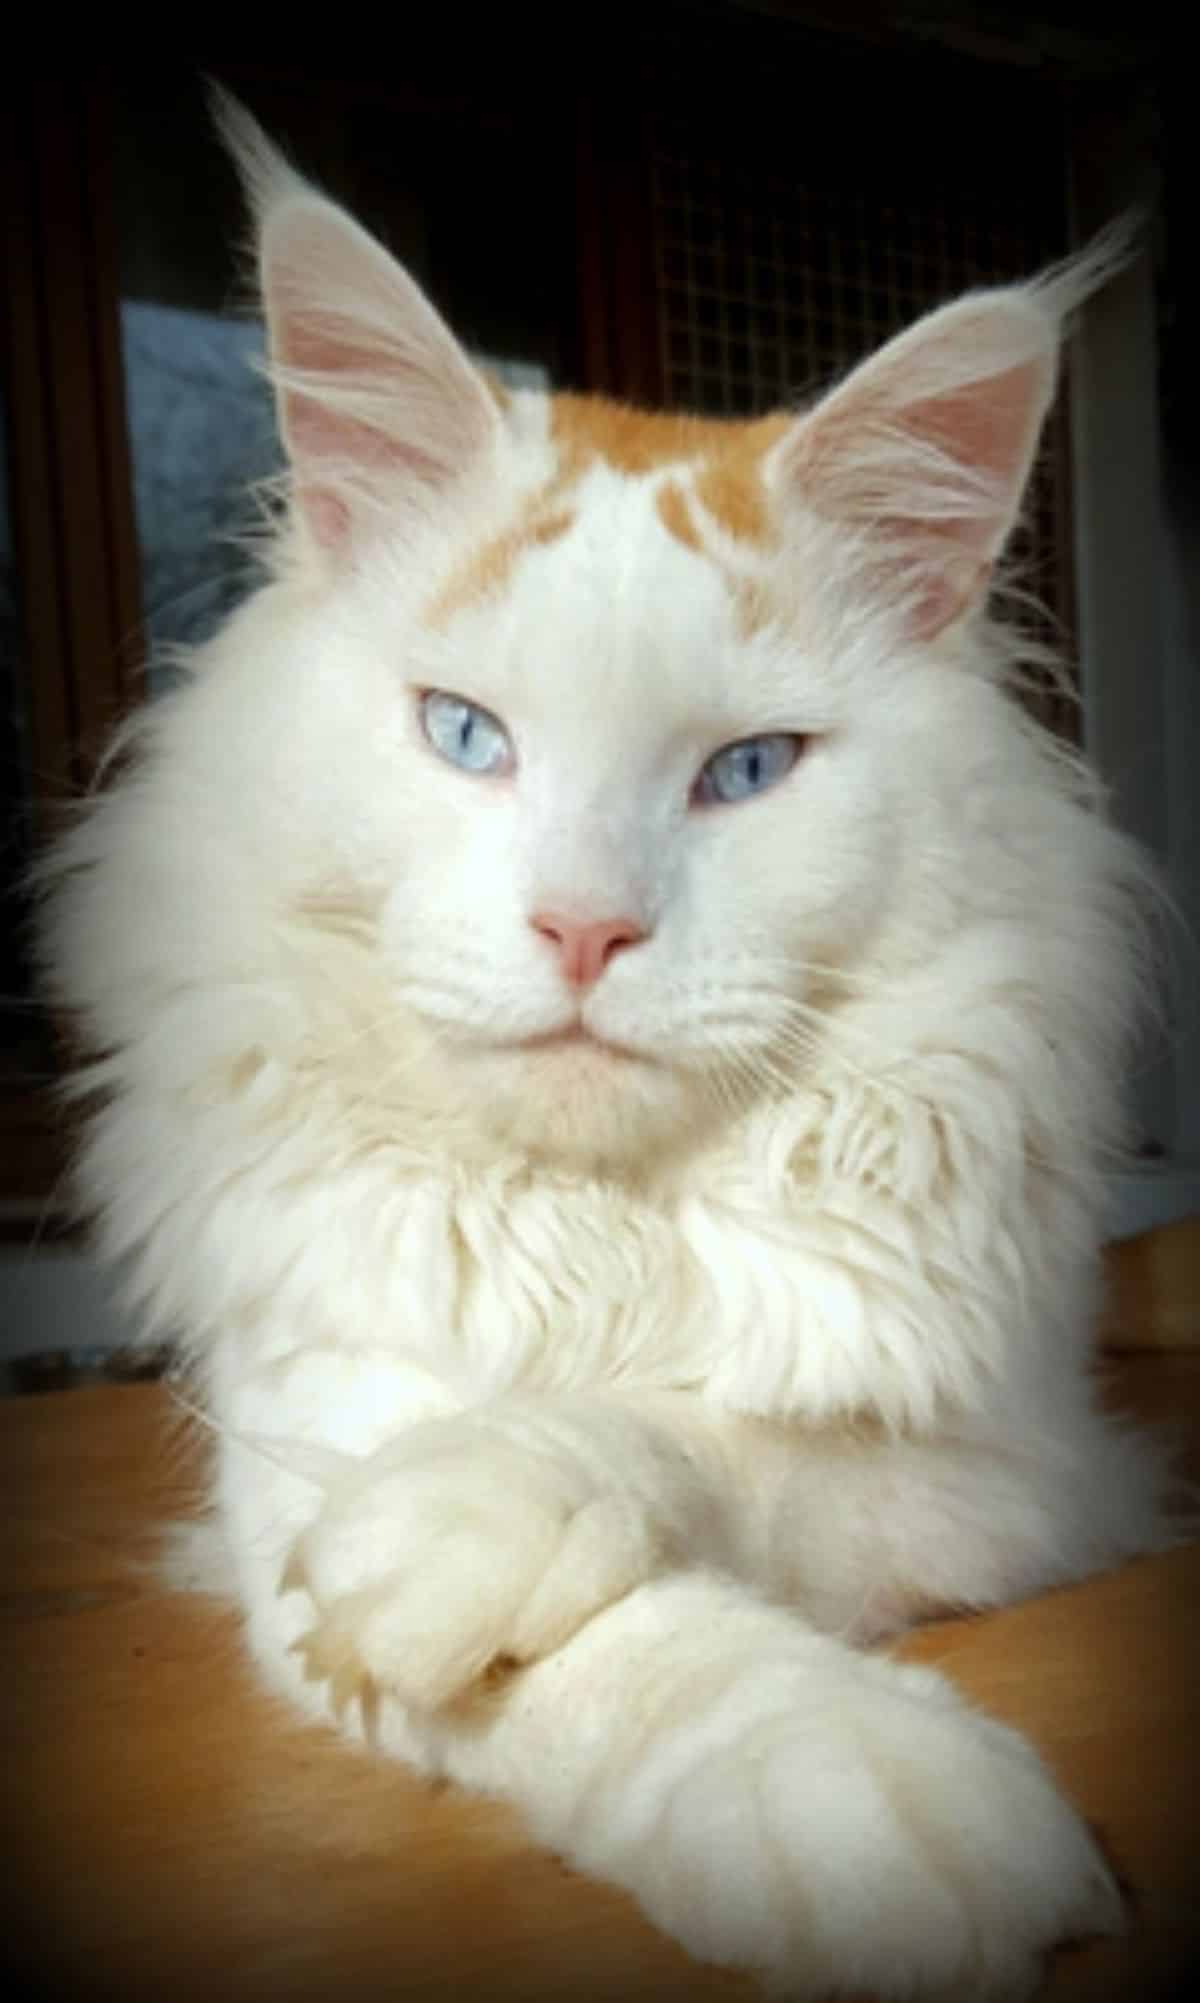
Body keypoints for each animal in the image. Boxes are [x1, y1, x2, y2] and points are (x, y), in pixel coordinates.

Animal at [44, 97, 1169, 2003]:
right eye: (464, 736)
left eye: (747, 771)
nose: (583, 929)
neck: (594, 1224)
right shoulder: (300, 1435)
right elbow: (612, 1651)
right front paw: (848, 1793)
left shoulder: (1007, 1460)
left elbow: (698, 1437)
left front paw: (476, 1507)